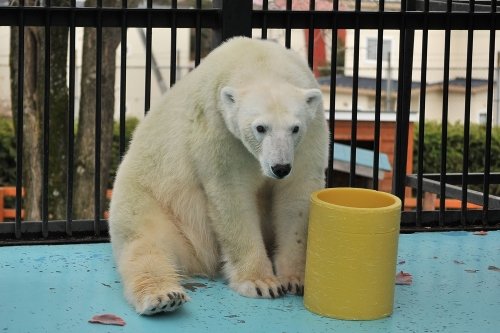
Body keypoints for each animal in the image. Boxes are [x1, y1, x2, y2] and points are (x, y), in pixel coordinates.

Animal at [108, 36, 328, 314]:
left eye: (295, 128)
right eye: (260, 127)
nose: (279, 168)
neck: (259, 61)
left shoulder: (310, 135)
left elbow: (296, 198)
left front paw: (295, 279)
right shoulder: (217, 128)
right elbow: (232, 196)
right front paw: (260, 282)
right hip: (151, 201)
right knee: (147, 245)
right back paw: (164, 297)